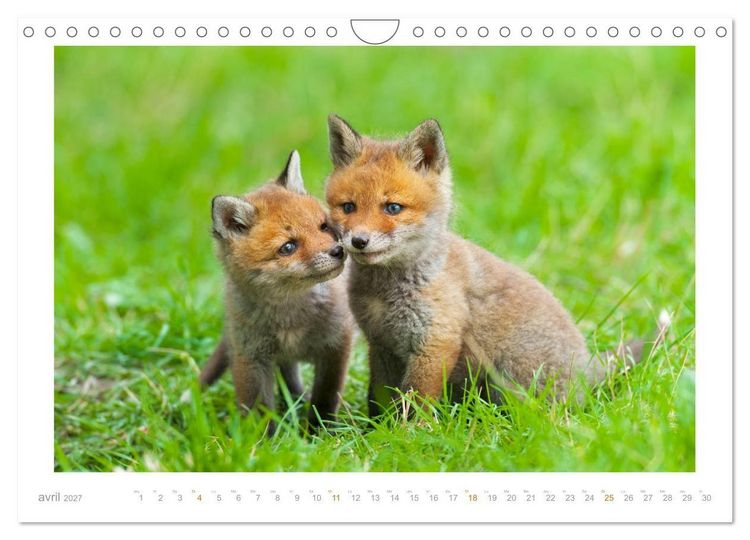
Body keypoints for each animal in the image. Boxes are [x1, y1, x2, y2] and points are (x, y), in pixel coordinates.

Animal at [200, 150, 354, 430]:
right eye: (288, 247)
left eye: (323, 226)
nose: (338, 251)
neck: (289, 315)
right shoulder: (250, 358)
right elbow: (259, 413)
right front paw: (263, 441)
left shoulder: (336, 345)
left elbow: (324, 399)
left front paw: (320, 432)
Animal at [324, 115, 669, 417]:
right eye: (348, 207)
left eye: (393, 208)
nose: (358, 241)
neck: (388, 291)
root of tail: (587, 367)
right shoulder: (381, 344)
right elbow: (380, 398)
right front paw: (376, 431)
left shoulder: (435, 343)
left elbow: (415, 401)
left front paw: (407, 434)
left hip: (510, 382)